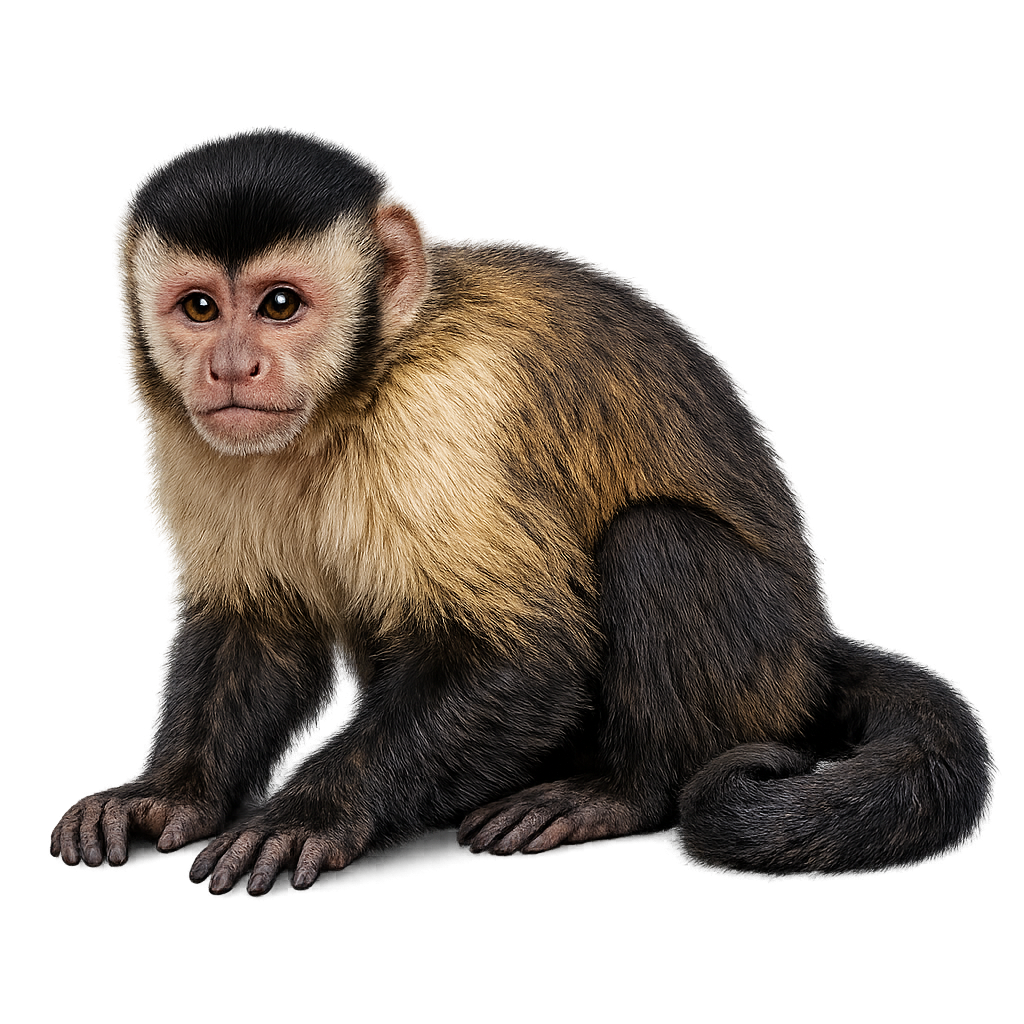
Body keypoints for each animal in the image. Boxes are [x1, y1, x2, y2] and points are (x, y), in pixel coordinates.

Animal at [51, 132, 989, 895]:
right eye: (200, 308)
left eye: (280, 305)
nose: (231, 368)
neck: (356, 392)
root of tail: (808, 660)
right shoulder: (203, 436)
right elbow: (262, 628)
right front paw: (172, 795)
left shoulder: (441, 412)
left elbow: (527, 660)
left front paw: (312, 812)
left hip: (763, 678)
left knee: (658, 540)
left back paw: (623, 791)